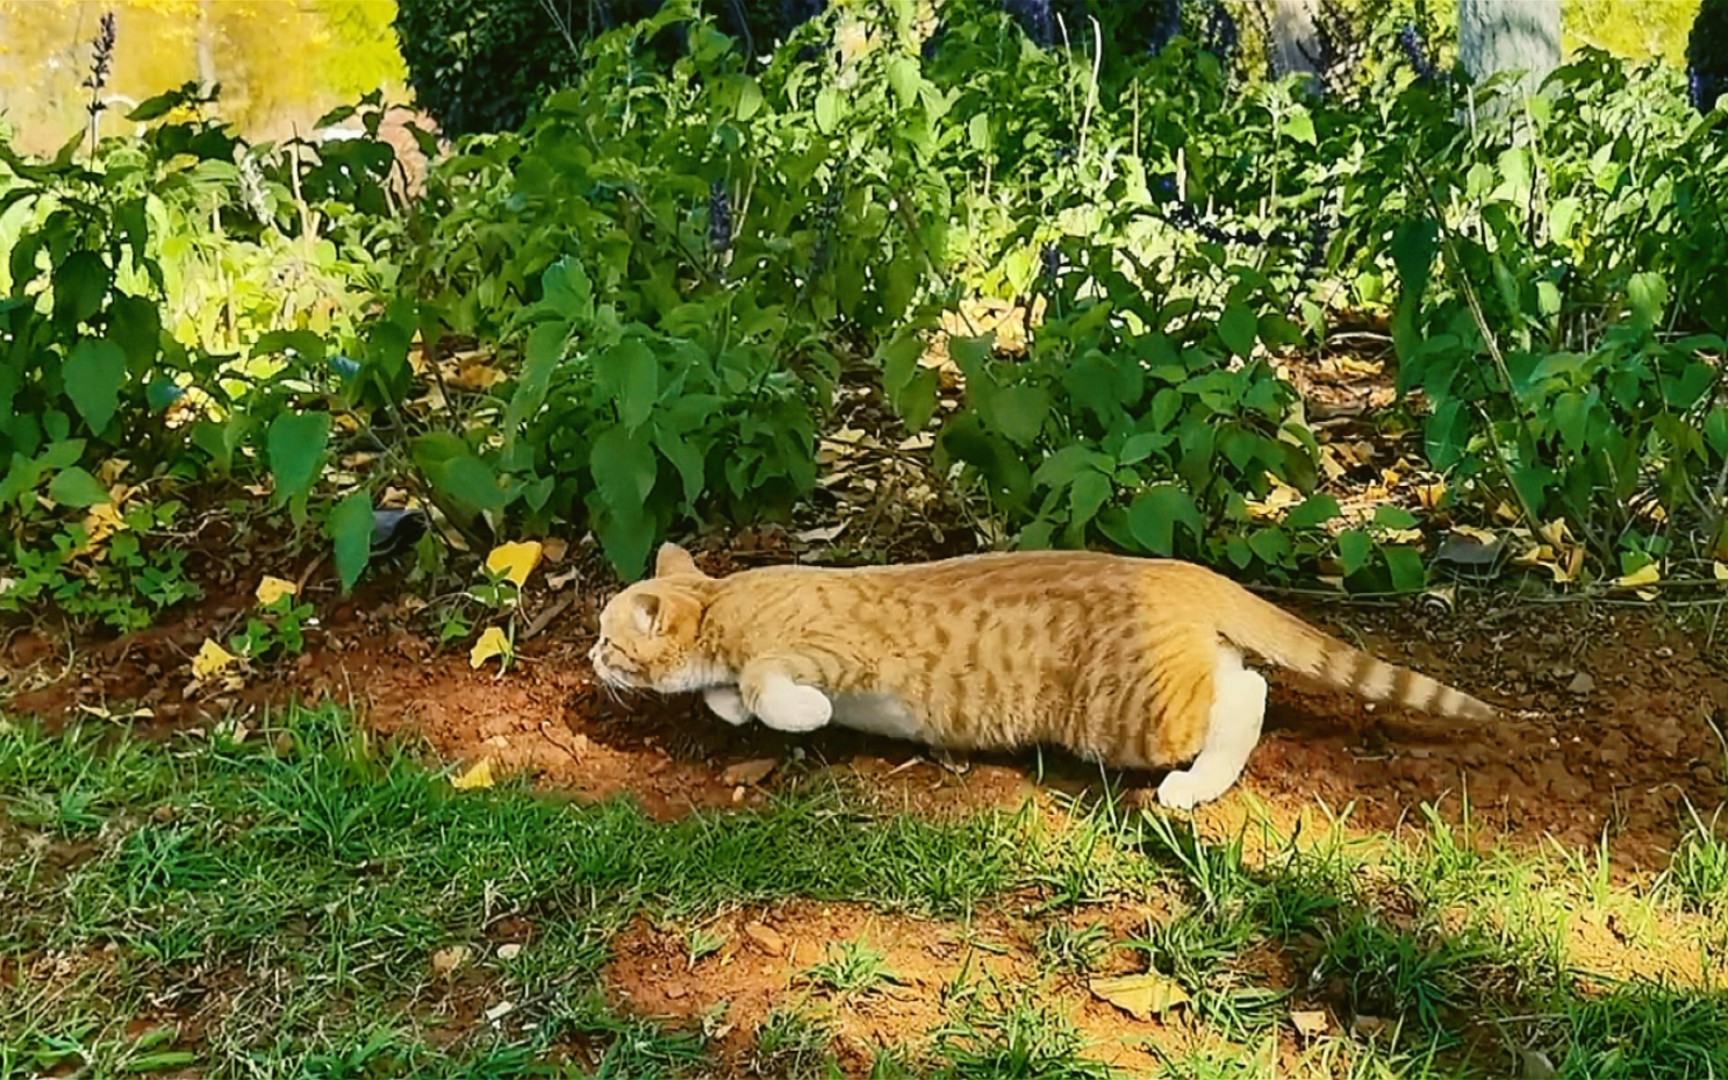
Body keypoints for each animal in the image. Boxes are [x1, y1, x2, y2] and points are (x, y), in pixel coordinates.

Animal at [587, 542, 1492, 805]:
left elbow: (770, 689)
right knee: (1239, 669)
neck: (727, 601)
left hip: (1128, 716)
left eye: (604, 636)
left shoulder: (828, 654)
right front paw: (727, 703)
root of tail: (1173, 569)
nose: (589, 657)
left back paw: (1194, 787)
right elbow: (728, 696)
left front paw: (790, 712)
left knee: (1249, 692)